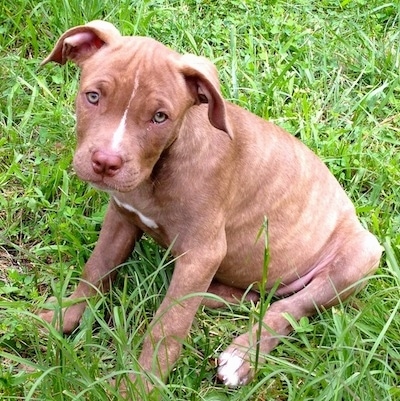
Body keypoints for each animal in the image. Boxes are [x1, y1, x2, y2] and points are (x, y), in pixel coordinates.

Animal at [39, 20, 382, 392]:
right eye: (93, 96)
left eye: (160, 117)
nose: (106, 162)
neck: (161, 166)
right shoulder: (122, 215)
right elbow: (96, 270)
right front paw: (60, 317)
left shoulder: (203, 252)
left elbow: (168, 327)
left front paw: (142, 384)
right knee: (248, 298)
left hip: (361, 256)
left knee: (289, 308)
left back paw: (242, 357)